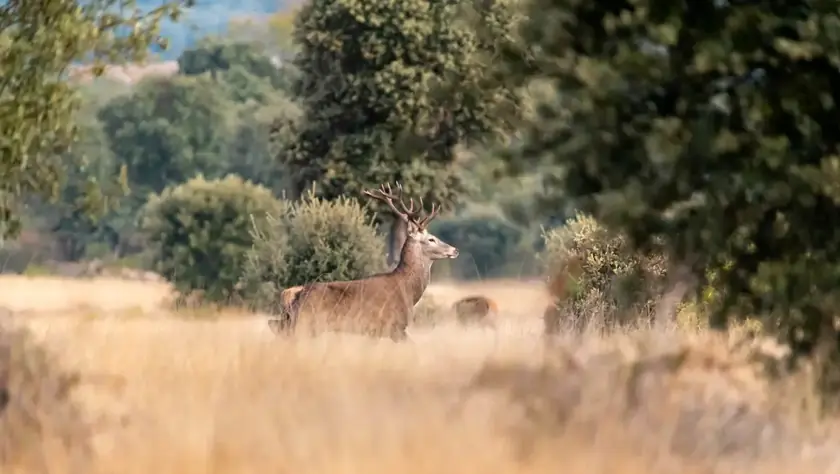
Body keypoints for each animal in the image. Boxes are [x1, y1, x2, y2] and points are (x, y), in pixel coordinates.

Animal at [267, 183, 459, 341]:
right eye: (431, 239)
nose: (454, 250)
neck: (408, 290)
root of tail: (295, 293)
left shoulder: (375, 332)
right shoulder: (393, 326)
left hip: (291, 324)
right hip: (307, 324)